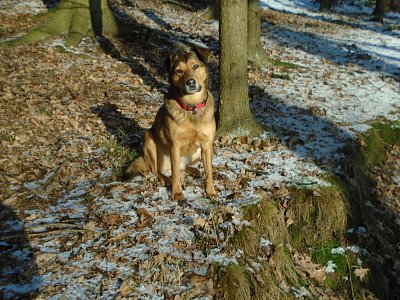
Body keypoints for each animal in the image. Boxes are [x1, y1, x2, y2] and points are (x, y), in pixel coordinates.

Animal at [126, 48, 217, 200]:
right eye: (179, 71)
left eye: (195, 66)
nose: (190, 82)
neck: (191, 107)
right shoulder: (175, 145)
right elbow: (175, 174)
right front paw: (177, 193)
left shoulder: (207, 144)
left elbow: (209, 171)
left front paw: (210, 191)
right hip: (149, 140)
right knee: (156, 169)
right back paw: (164, 178)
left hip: (198, 152)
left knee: (182, 167)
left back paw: (193, 170)